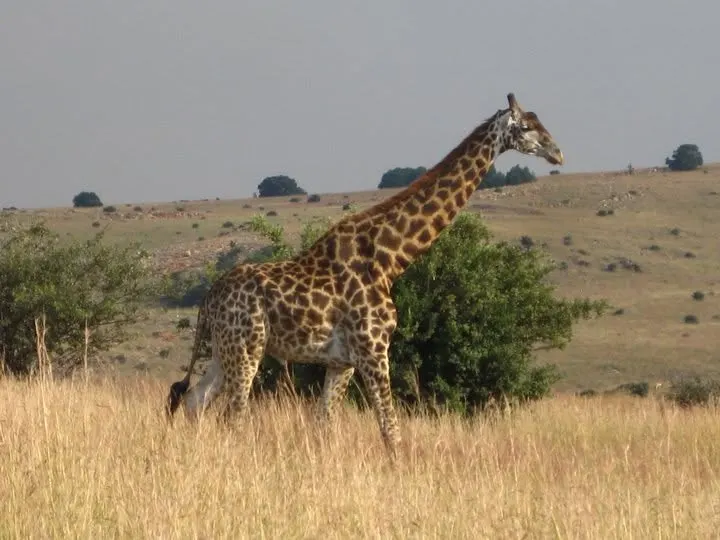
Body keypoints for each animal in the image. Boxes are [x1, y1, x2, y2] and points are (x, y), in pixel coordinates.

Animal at [166, 93, 564, 457]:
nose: (557, 153)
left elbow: (324, 424)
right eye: (525, 127)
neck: (390, 259)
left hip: (224, 350)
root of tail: (208, 301)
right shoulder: (373, 350)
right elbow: (391, 431)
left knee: (195, 401)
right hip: (247, 347)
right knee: (233, 415)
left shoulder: (341, 361)